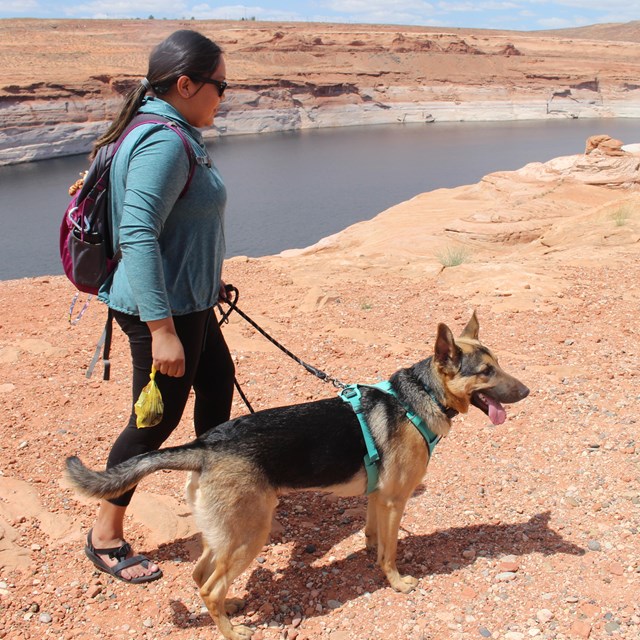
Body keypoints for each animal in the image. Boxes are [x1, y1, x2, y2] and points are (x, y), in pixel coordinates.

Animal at [65, 314, 528, 640]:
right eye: (485, 372)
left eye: (499, 364)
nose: (527, 392)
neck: (420, 394)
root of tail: (206, 445)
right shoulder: (396, 500)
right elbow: (391, 551)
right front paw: (397, 582)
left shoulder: (378, 497)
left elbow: (374, 537)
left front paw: (371, 556)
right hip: (250, 534)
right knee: (208, 586)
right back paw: (234, 630)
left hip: (226, 533)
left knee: (200, 576)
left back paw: (230, 610)